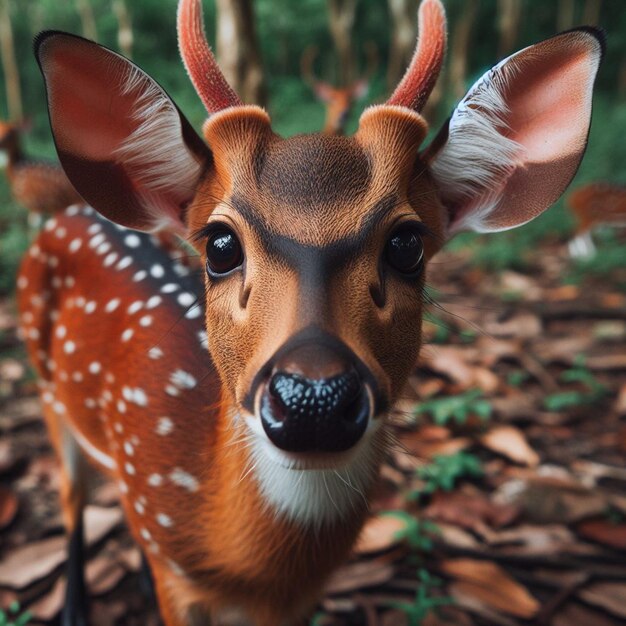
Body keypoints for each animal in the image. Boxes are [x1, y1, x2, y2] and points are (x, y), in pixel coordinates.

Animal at [18, 0, 600, 620]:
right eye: (220, 245)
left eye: (407, 244)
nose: (312, 400)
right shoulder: (166, 558)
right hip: (48, 391)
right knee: (70, 497)